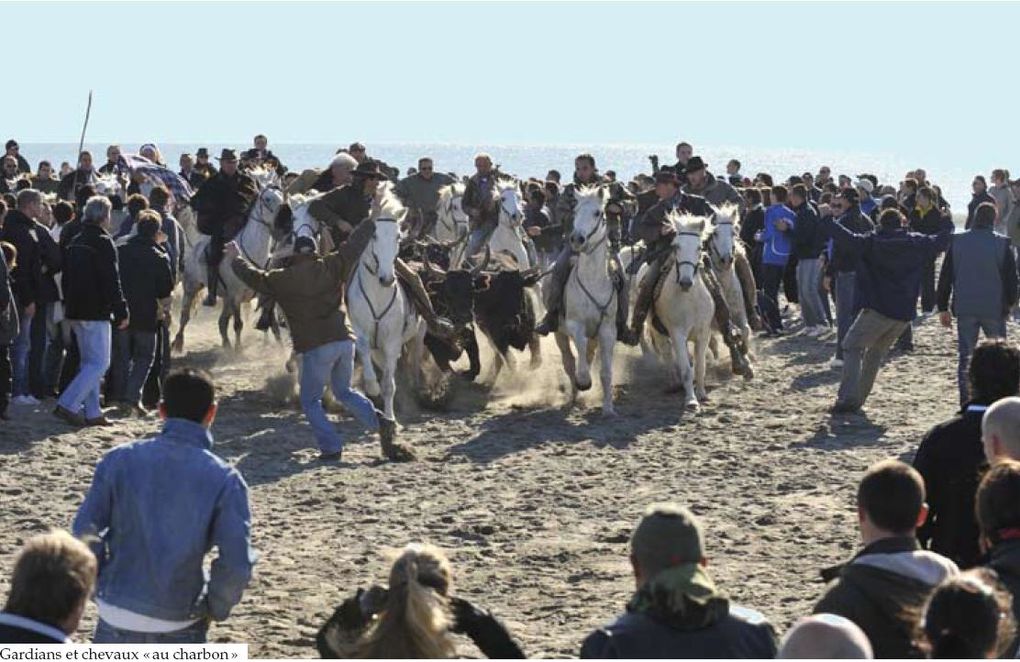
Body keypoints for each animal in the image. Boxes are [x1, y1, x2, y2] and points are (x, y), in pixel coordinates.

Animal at [171, 175, 283, 350]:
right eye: (268, 198)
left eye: (282, 195)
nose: (284, 222)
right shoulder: (235, 296)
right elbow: (238, 324)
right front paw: (238, 350)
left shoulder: (263, 295)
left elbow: (274, 325)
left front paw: (281, 350)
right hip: (191, 287)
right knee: (185, 316)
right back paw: (178, 343)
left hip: (225, 299)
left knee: (222, 322)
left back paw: (226, 345)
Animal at [346, 188, 426, 420]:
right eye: (374, 235)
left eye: (398, 236)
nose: (387, 279)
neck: (378, 295)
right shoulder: (361, 332)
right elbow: (365, 354)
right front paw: (372, 388)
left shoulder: (392, 342)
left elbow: (389, 385)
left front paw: (390, 418)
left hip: (418, 335)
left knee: (413, 361)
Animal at [554, 185, 616, 412]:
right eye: (575, 211)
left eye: (597, 213)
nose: (577, 239)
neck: (592, 281)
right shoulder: (574, 324)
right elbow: (579, 347)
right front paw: (584, 380)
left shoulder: (607, 330)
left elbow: (605, 371)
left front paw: (608, 407)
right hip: (559, 334)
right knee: (569, 360)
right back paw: (574, 395)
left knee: (587, 355)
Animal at [640, 210, 714, 408]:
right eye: (676, 246)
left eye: (699, 247)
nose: (686, 282)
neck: (690, 300)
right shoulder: (677, 333)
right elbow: (686, 369)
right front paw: (691, 400)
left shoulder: (703, 333)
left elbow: (700, 366)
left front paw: (702, 394)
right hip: (658, 330)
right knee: (667, 354)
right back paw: (673, 383)